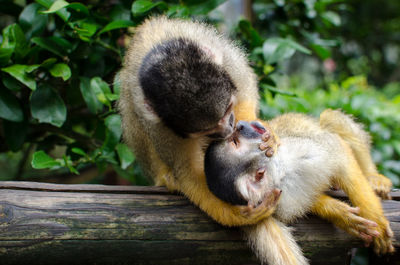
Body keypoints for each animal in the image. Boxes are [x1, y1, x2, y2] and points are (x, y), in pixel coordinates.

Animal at [117, 16, 278, 225]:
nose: (229, 130)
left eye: (228, 109)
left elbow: (245, 92)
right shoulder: (158, 124)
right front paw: (238, 215)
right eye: (206, 130)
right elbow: (187, 171)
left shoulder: (226, 59)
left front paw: (264, 135)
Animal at [205, 109, 396, 264]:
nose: (241, 124)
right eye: (234, 141)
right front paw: (338, 213)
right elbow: (309, 202)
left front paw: (377, 223)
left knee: (329, 120)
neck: (281, 175)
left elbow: (340, 155)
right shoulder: (281, 203)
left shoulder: (295, 151)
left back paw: (373, 177)